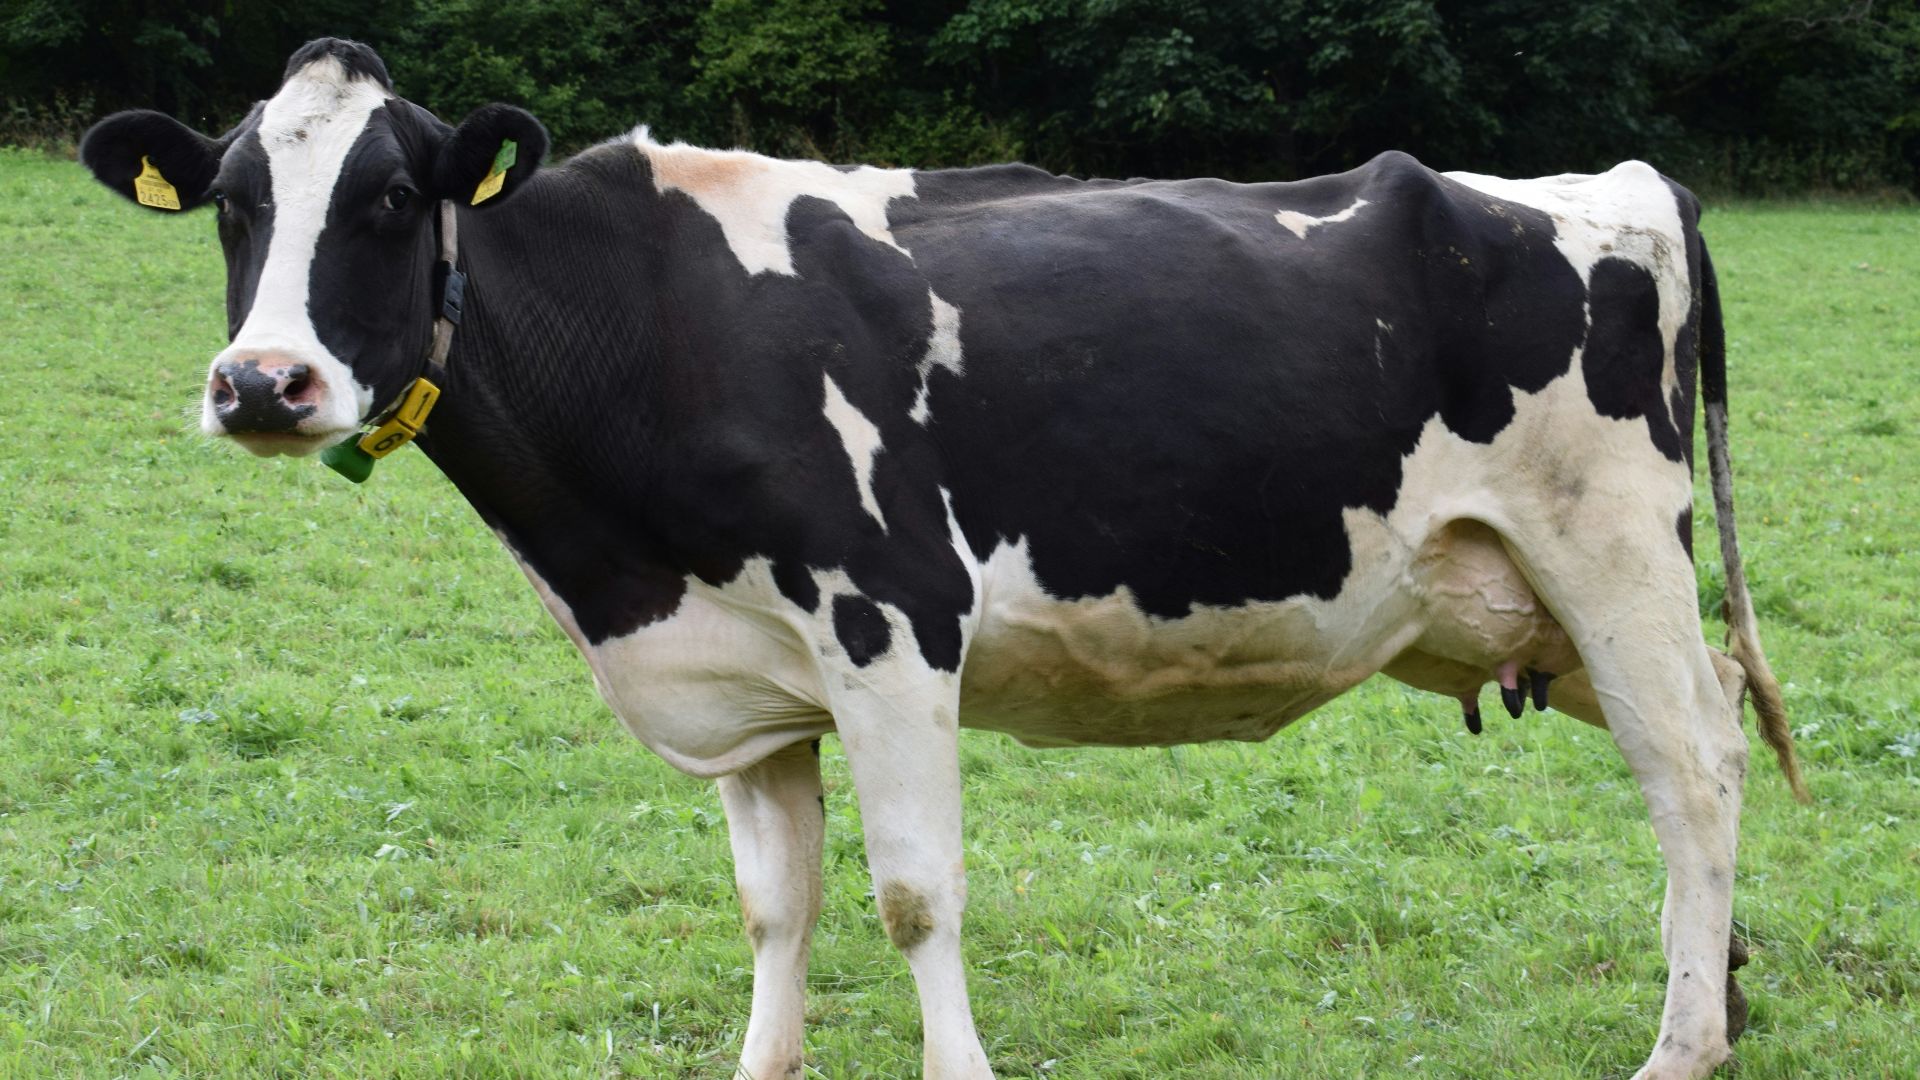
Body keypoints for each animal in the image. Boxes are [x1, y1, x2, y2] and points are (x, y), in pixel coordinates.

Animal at [80, 38, 1807, 1080]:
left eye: (388, 197)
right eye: (232, 203)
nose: (262, 385)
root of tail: (1620, 183)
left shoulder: (891, 623)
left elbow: (914, 894)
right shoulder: (746, 683)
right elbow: (776, 907)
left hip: (1611, 555)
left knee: (1695, 767)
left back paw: (1680, 1046)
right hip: (1527, 604)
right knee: (1710, 736)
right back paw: (1722, 995)